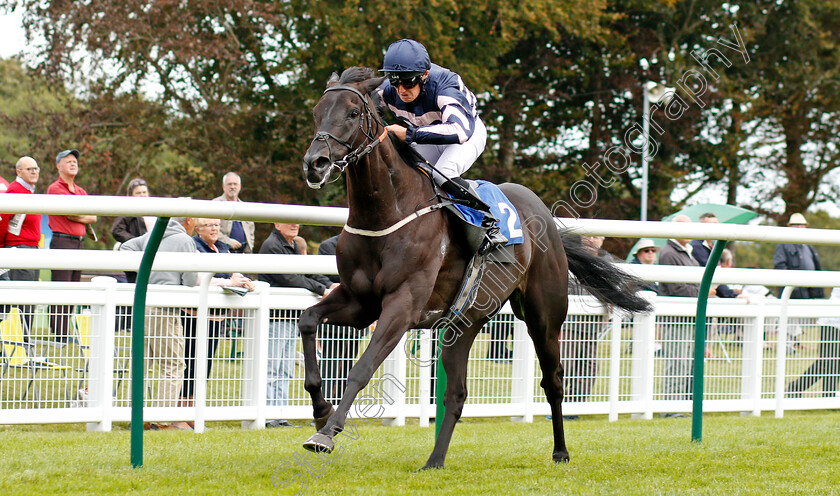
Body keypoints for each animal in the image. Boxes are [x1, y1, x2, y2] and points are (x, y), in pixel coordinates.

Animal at [298, 67, 652, 468]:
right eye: (317, 112)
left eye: (353, 112)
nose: (315, 163)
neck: (387, 212)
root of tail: (545, 217)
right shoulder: (361, 303)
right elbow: (308, 320)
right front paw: (321, 411)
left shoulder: (402, 306)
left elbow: (361, 369)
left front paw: (326, 434)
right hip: (464, 323)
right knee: (457, 394)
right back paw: (434, 461)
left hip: (543, 316)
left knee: (553, 381)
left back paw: (560, 451)